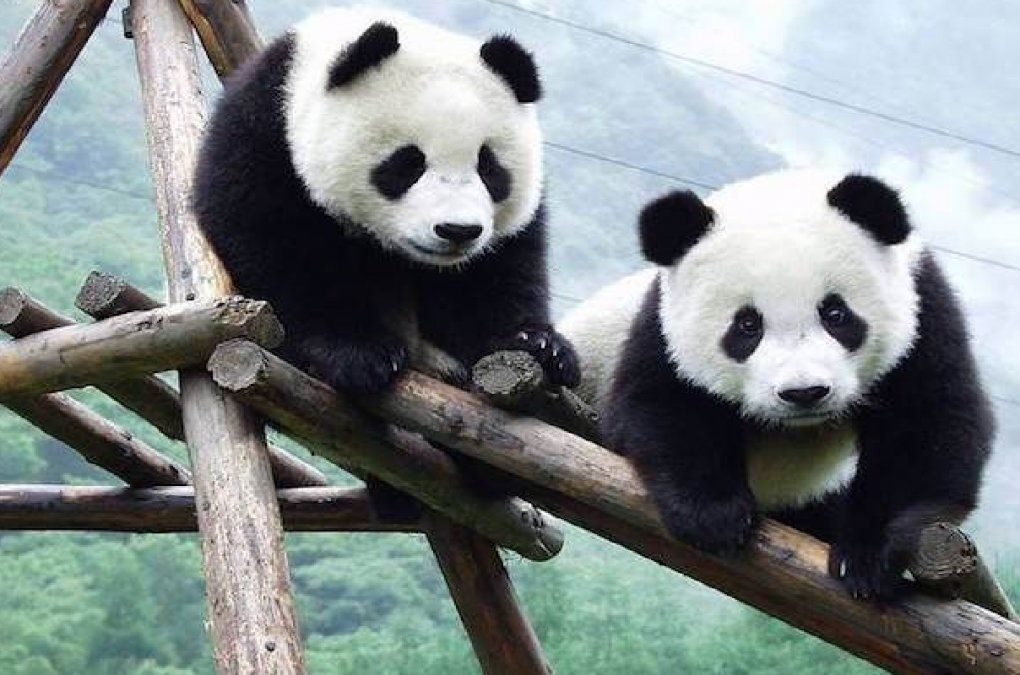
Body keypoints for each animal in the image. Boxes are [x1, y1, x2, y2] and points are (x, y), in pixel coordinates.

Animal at [194, 7, 579, 395]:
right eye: (408, 163)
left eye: (488, 168)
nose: (457, 230)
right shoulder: (265, 137)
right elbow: (277, 245)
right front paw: (357, 351)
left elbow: (499, 272)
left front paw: (538, 343)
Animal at [559, 169, 994, 599]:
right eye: (747, 325)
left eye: (835, 313)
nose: (804, 393)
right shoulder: (662, 328)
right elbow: (660, 405)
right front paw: (714, 515)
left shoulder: (925, 311)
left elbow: (927, 427)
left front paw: (868, 556)